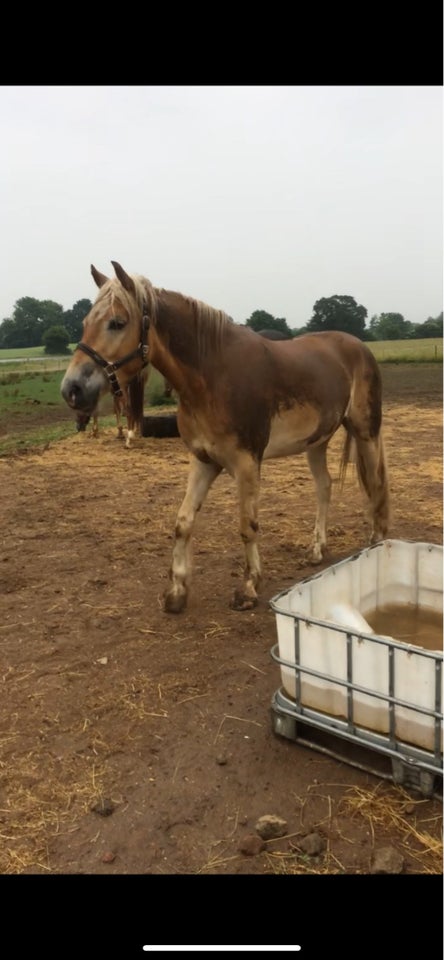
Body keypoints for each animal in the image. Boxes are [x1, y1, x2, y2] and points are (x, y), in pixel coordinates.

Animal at [60, 258, 390, 612]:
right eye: (85, 322)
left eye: (117, 323)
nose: (72, 389)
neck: (212, 377)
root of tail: (358, 346)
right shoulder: (203, 460)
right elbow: (183, 522)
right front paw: (177, 591)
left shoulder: (246, 463)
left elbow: (247, 525)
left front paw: (249, 587)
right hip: (318, 440)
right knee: (324, 487)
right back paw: (317, 550)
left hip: (366, 431)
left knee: (376, 483)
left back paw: (377, 542)